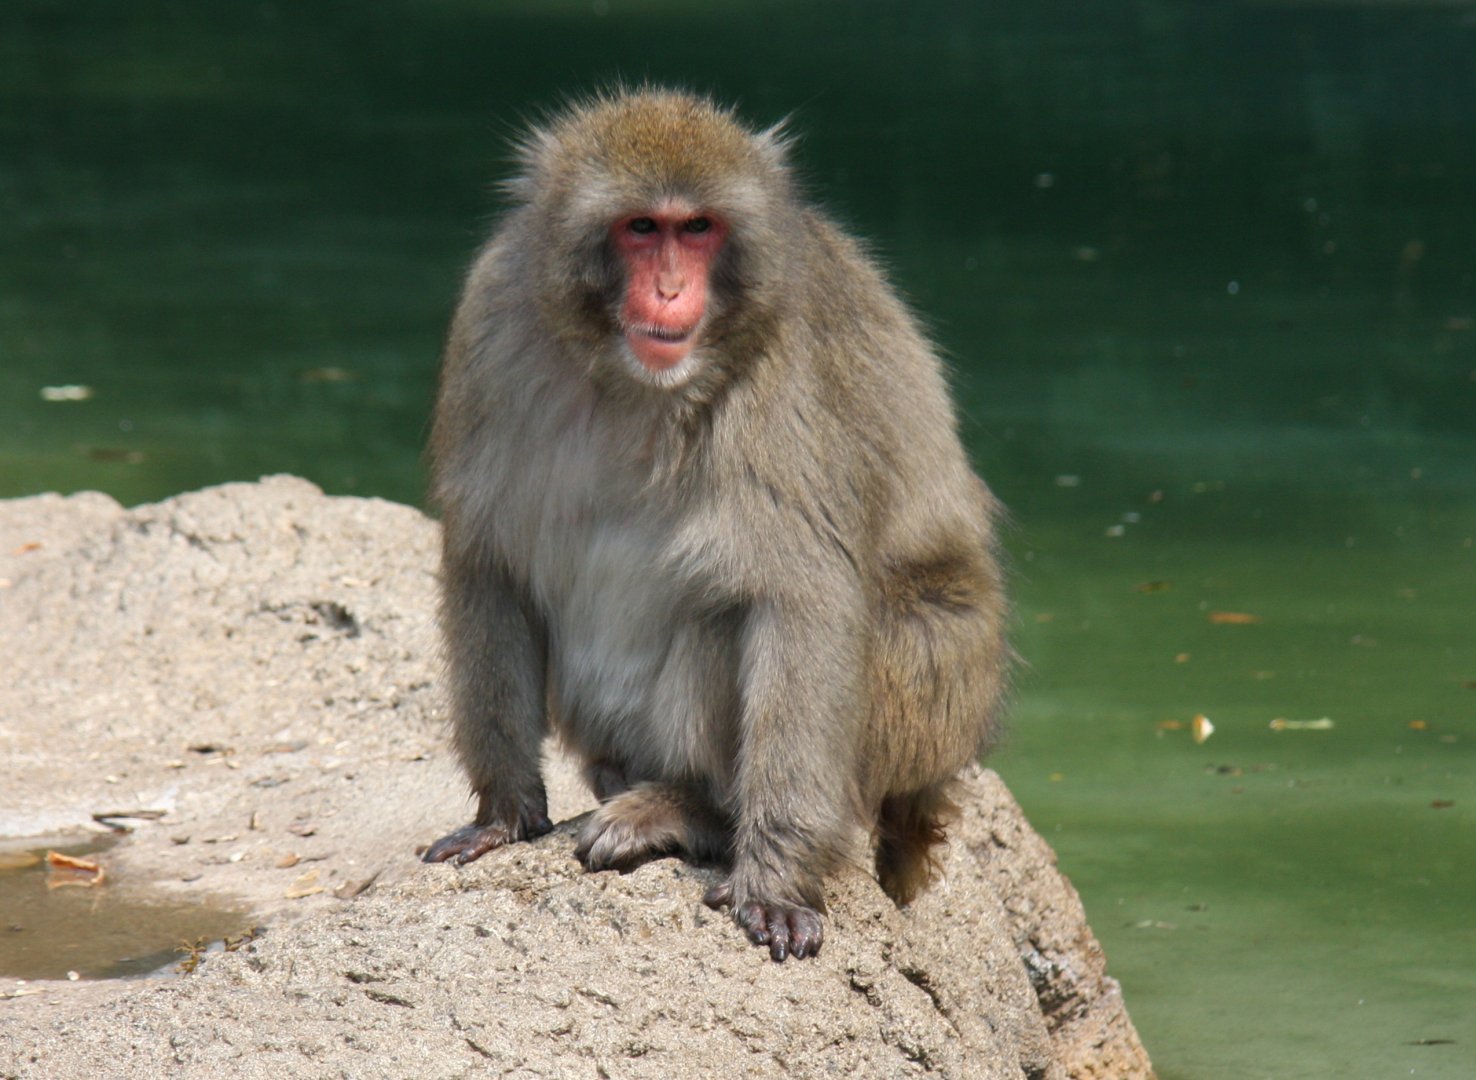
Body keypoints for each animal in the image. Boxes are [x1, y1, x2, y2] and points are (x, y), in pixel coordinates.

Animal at [422, 88, 1009, 963]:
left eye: (697, 228)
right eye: (642, 228)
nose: (669, 291)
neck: (632, 384)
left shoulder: (786, 378)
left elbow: (803, 602)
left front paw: (776, 878)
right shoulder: (491, 324)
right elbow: (488, 561)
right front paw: (503, 813)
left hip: (917, 715)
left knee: (731, 617)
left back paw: (691, 809)